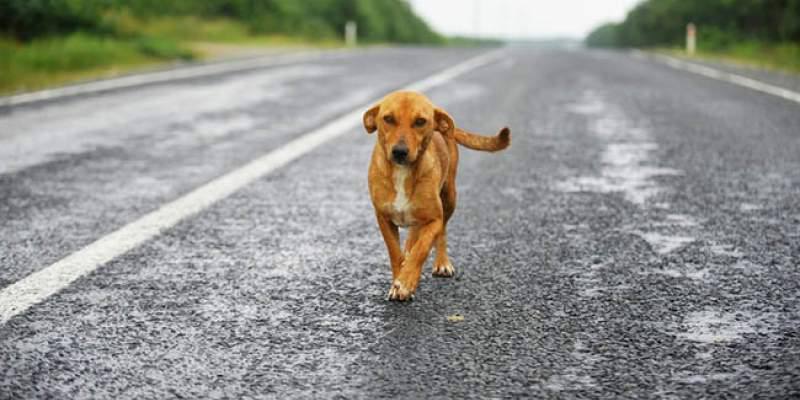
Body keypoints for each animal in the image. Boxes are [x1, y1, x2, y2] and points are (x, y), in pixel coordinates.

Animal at [364, 90, 512, 300]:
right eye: (388, 119)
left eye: (420, 121)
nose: (399, 152)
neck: (402, 173)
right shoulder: (383, 218)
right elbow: (395, 252)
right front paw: (398, 280)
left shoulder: (434, 219)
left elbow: (422, 248)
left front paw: (406, 282)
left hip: (449, 198)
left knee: (440, 233)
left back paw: (441, 263)